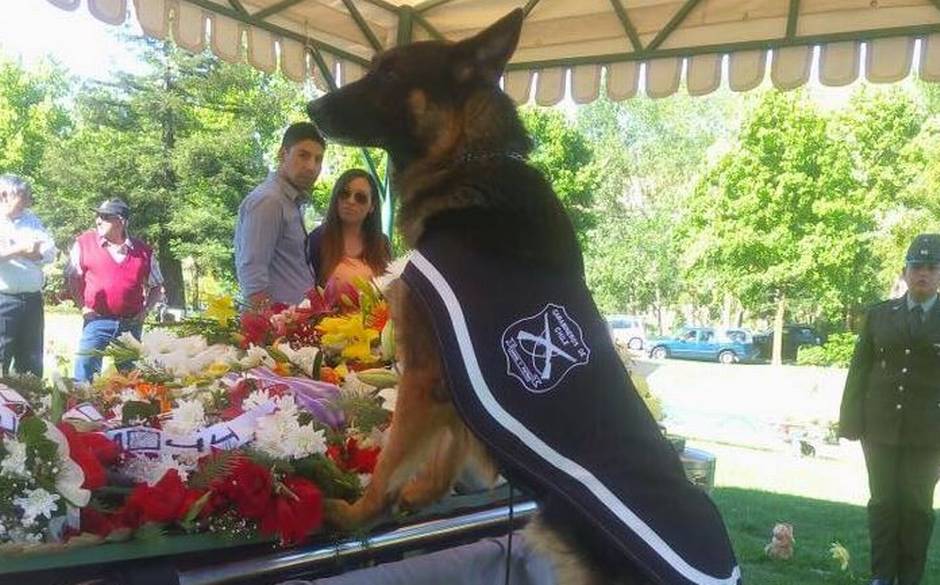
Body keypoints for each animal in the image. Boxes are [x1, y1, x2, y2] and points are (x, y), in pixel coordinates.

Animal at [307, 11, 734, 585]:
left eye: (390, 73)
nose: (311, 110)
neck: (468, 157)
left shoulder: (423, 374)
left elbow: (391, 463)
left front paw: (358, 513)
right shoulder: (454, 379)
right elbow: (450, 444)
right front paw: (423, 493)